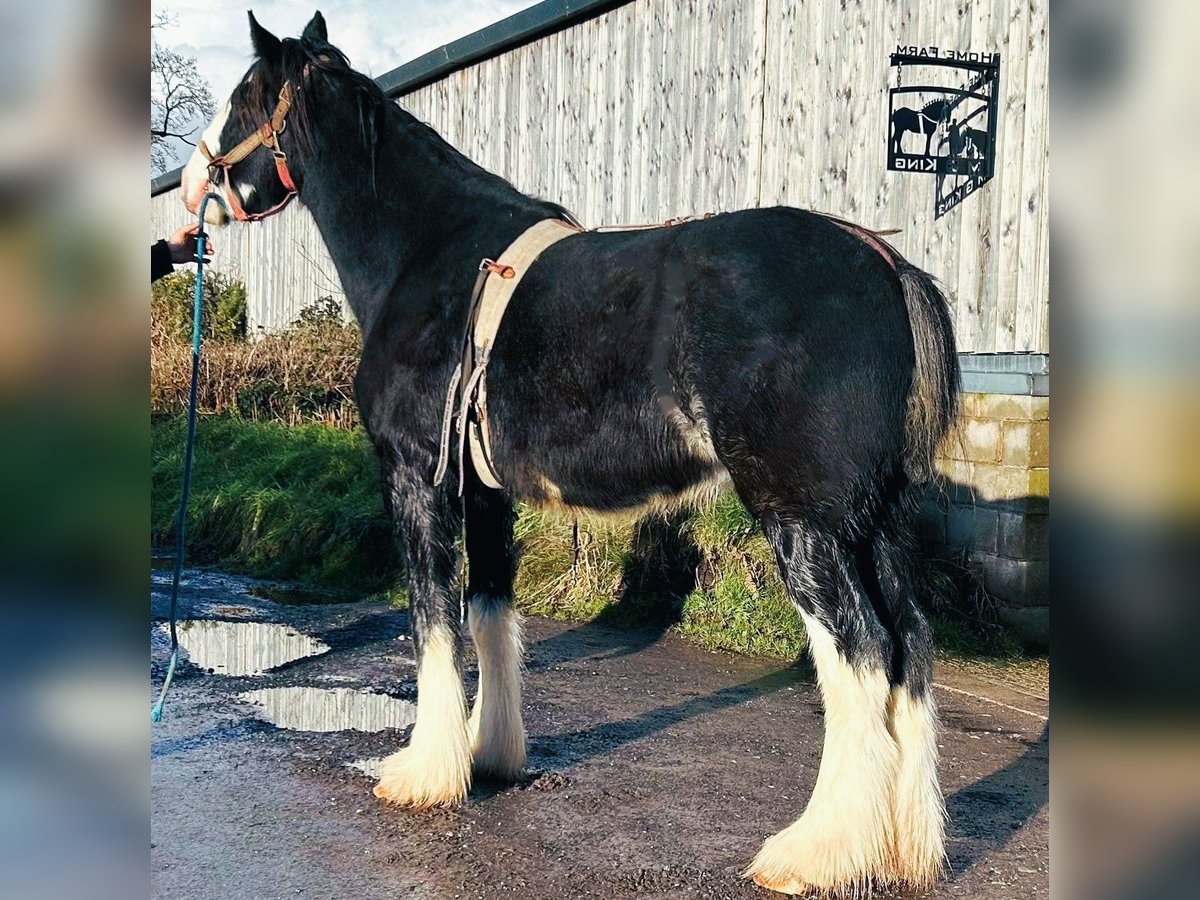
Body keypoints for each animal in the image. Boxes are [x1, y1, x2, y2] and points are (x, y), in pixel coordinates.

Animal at [177, 12, 960, 897]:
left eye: (245, 94)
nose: (190, 184)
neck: (430, 255)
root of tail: (885, 264)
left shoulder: (416, 478)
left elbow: (430, 621)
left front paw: (422, 773)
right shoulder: (483, 492)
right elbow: (486, 612)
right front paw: (487, 756)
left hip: (805, 520)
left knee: (859, 652)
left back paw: (815, 852)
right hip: (873, 520)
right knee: (909, 646)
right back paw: (903, 848)